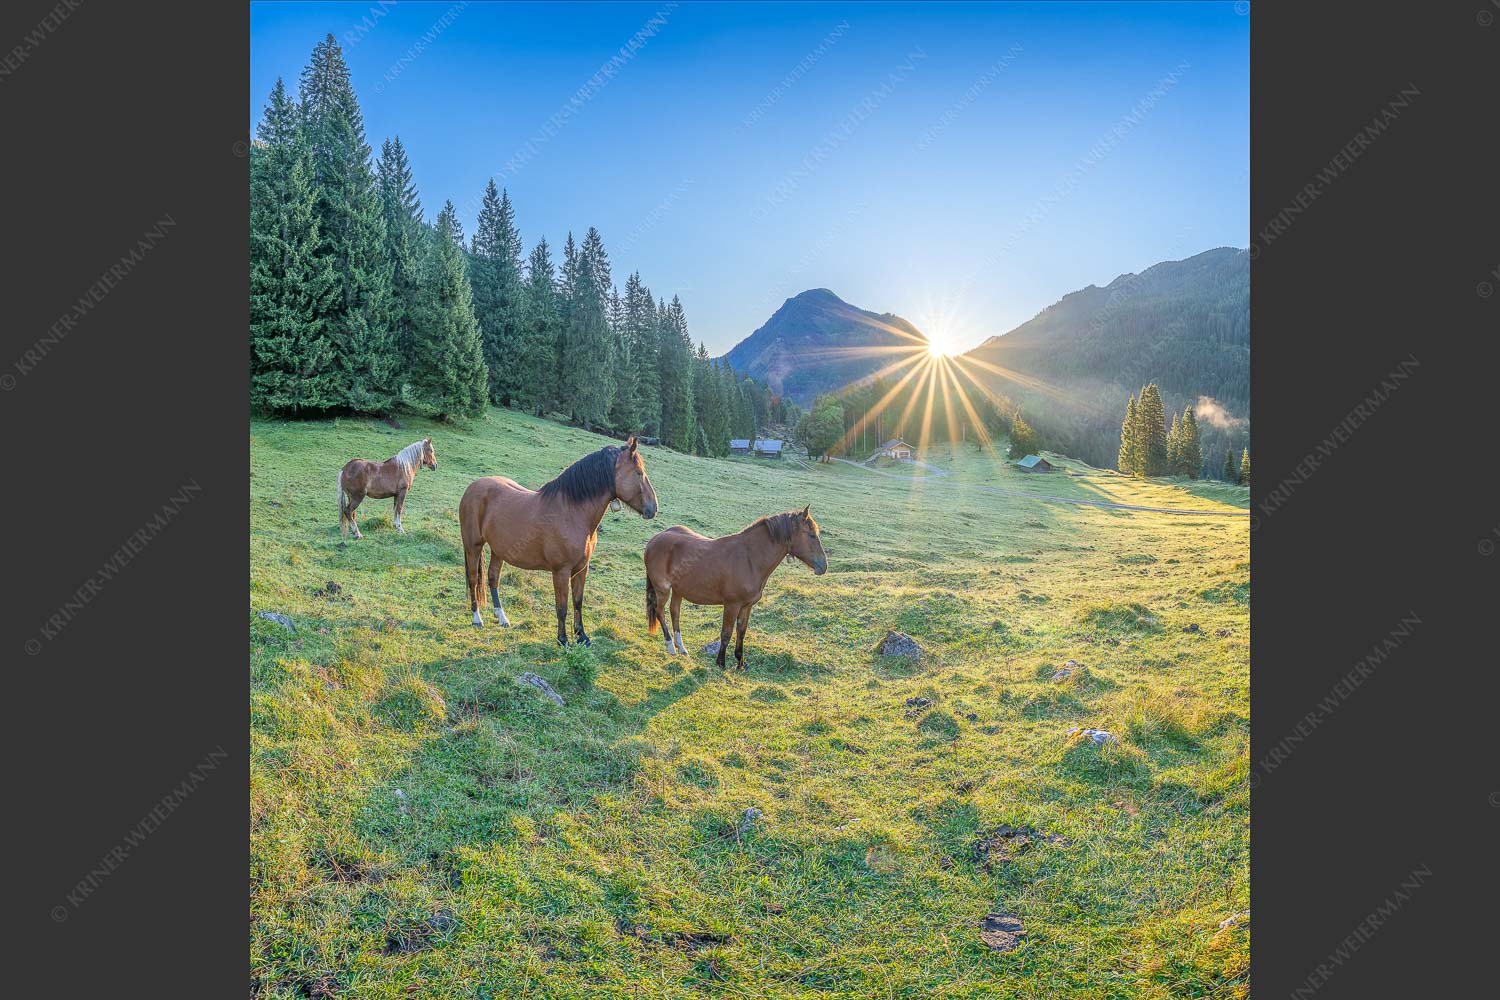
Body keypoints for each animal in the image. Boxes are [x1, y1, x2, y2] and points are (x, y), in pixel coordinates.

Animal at [459, 435, 658, 645]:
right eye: (639, 473)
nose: (654, 507)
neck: (572, 512)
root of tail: (473, 487)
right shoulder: (561, 571)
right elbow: (561, 607)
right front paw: (563, 639)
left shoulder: (582, 569)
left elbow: (578, 602)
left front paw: (582, 636)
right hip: (473, 546)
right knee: (473, 579)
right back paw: (477, 618)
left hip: (499, 549)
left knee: (492, 578)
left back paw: (502, 618)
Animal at [644, 506, 827, 670]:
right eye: (811, 535)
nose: (823, 566)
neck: (749, 559)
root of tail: (654, 540)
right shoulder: (732, 605)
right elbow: (726, 633)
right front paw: (721, 663)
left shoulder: (746, 606)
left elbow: (741, 632)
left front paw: (740, 662)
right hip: (663, 589)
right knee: (660, 612)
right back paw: (670, 647)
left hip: (678, 590)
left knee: (674, 612)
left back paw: (681, 647)